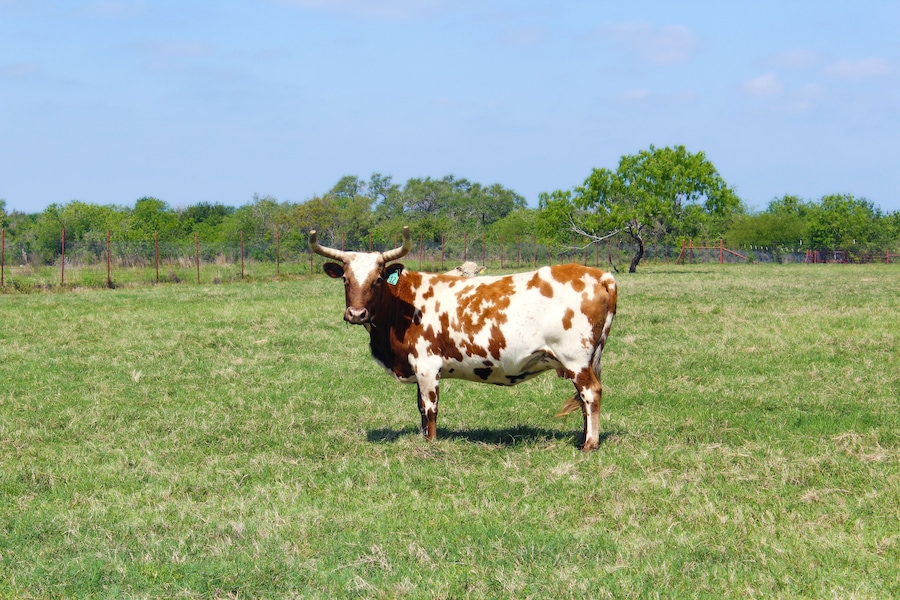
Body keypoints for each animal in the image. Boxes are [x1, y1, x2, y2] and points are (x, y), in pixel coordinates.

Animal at [310, 226, 617, 451]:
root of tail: (600, 275)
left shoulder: (427, 366)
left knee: (591, 393)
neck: (404, 303)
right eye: (346, 279)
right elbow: (420, 407)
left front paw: (430, 444)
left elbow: (430, 408)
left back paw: (589, 445)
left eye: (377, 279)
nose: (356, 313)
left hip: (575, 359)